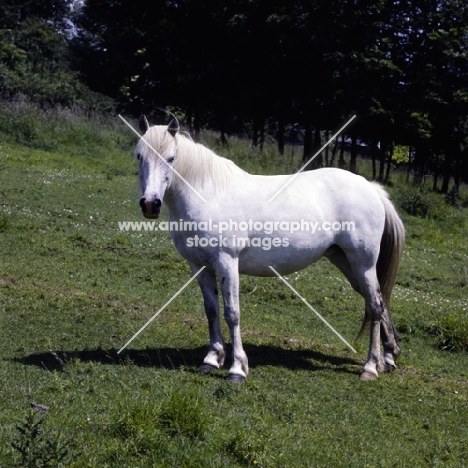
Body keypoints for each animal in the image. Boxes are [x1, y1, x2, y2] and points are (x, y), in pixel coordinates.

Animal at [133, 115, 404, 382]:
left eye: (171, 158)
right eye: (139, 156)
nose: (150, 204)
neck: (209, 195)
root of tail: (370, 187)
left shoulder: (226, 262)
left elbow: (232, 313)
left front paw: (237, 369)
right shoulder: (199, 266)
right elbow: (211, 311)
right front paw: (211, 360)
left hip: (363, 263)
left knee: (374, 306)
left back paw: (370, 367)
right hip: (346, 261)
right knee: (378, 301)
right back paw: (389, 358)